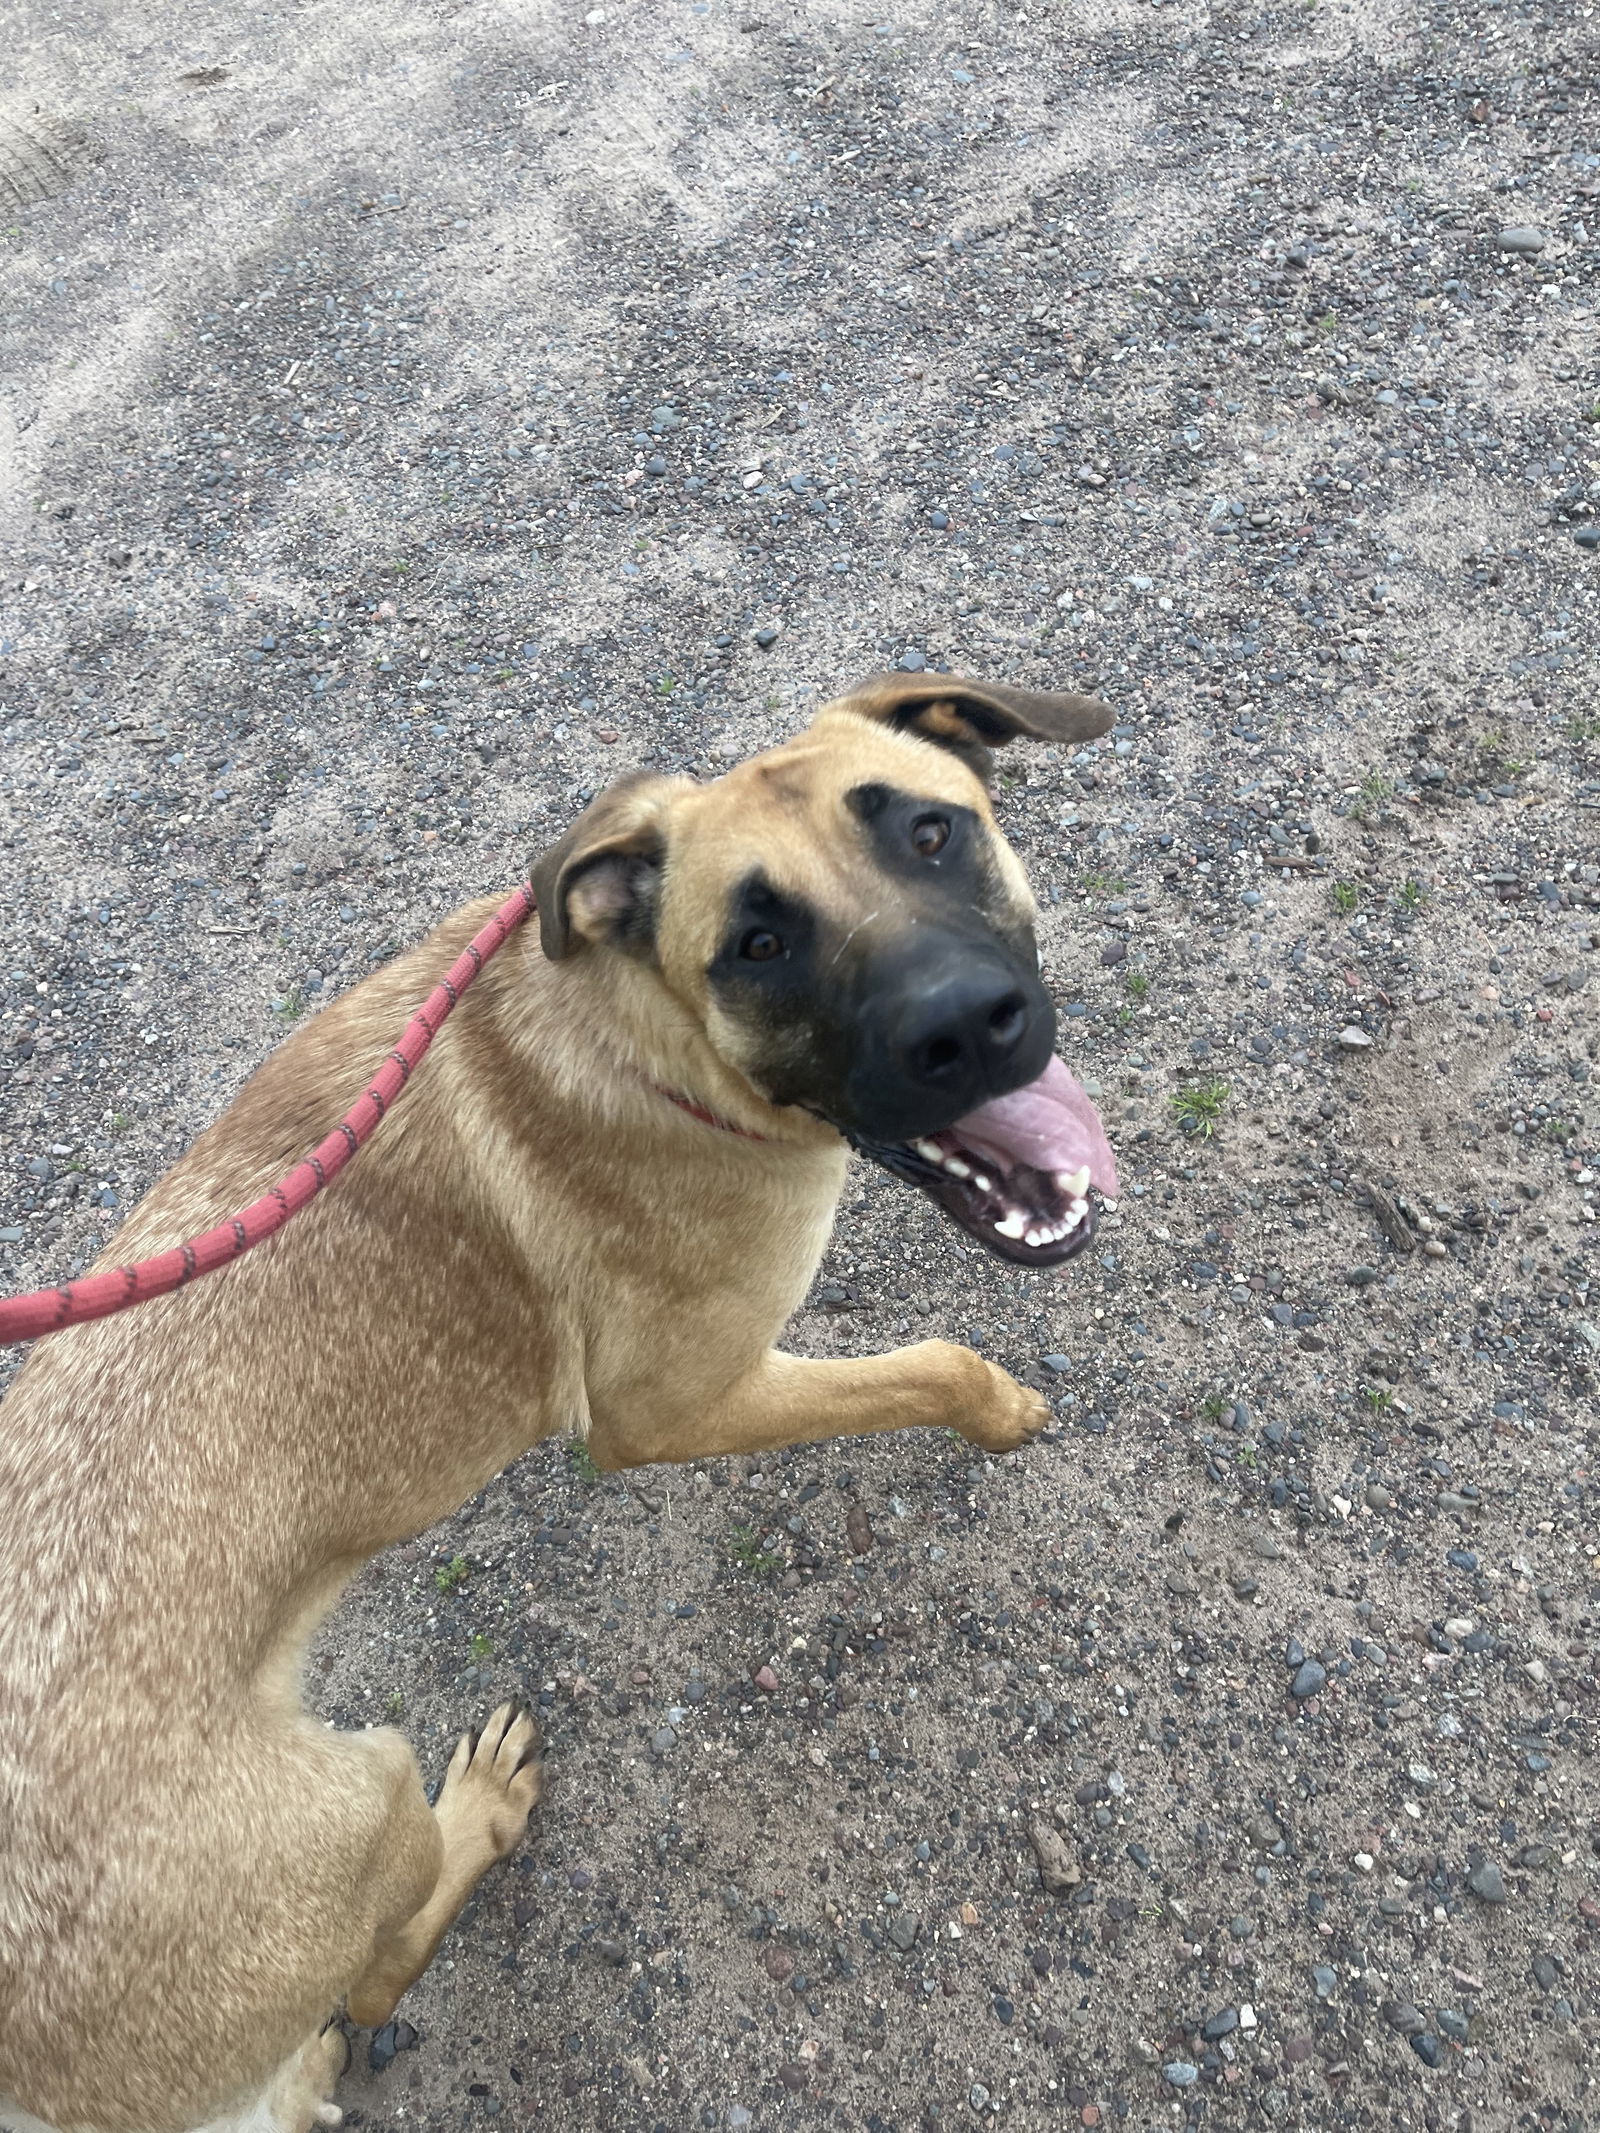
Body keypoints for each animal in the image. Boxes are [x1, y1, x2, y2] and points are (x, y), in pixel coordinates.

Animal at [0, 678, 1117, 2133]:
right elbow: (930, 1361)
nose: (967, 1024)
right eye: (757, 943)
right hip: (354, 1802)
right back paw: (473, 1818)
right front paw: (1002, 1411)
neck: (643, 1035)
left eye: (933, 832)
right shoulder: (668, 1407)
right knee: (375, 1977)